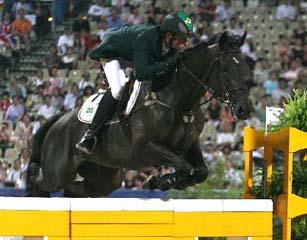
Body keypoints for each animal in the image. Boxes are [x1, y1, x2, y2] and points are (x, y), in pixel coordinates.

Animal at [27, 31, 253, 197]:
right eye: (225, 69)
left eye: (245, 67)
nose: (245, 109)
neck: (179, 102)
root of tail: (59, 120)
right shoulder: (145, 148)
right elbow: (185, 167)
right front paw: (159, 181)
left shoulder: (190, 145)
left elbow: (200, 172)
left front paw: (160, 182)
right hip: (58, 171)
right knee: (39, 180)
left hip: (103, 177)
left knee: (77, 189)